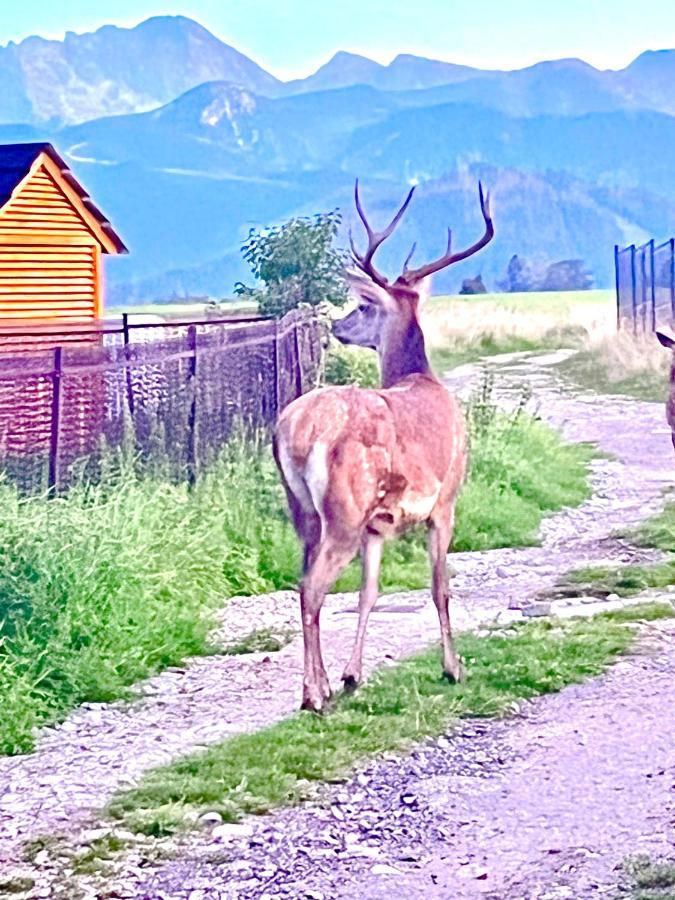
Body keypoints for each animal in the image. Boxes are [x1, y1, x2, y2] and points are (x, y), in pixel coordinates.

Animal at [274, 179, 496, 708]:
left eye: (363, 306)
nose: (337, 327)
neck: (421, 378)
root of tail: (293, 430)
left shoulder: (377, 525)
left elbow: (368, 592)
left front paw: (354, 674)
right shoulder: (446, 500)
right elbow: (439, 588)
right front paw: (453, 668)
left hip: (305, 512)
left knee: (303, 582)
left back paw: (319, 686)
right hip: (344, 508)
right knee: (312, 589)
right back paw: (314, 695)